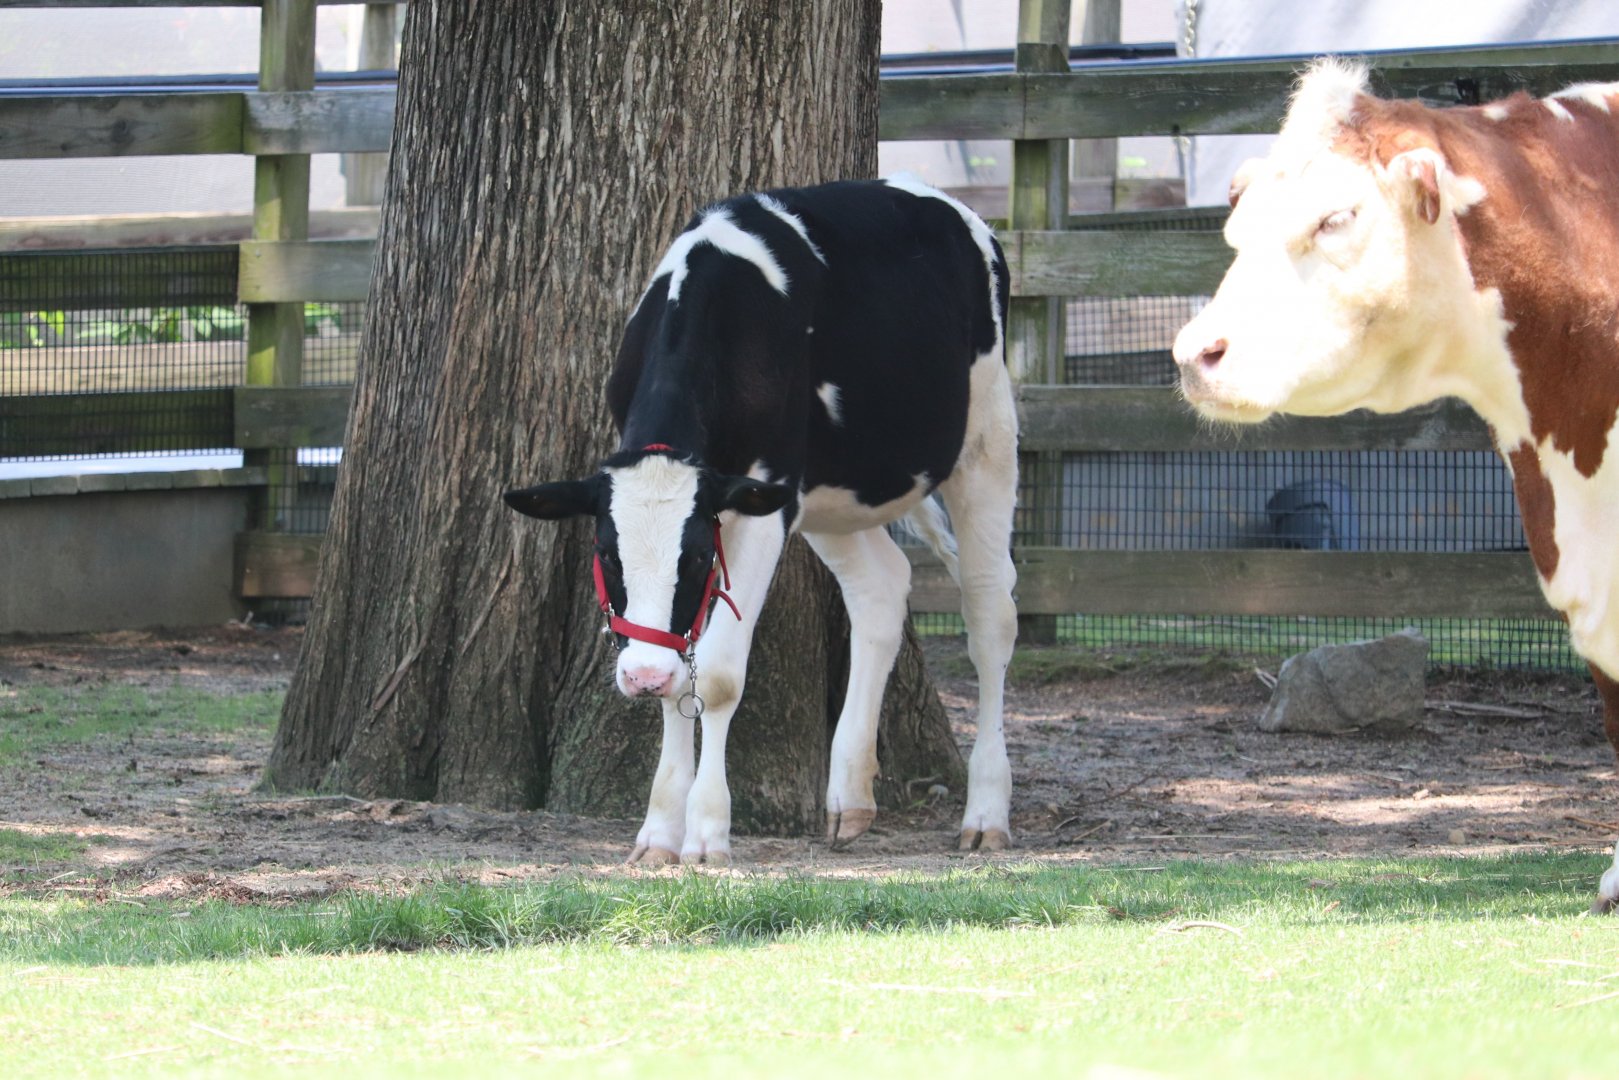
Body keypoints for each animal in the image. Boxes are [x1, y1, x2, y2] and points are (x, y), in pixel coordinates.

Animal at [505, 178, 1019, 866]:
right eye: (608, 553)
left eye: (696, 556)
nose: (640, 674)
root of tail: (939, 200)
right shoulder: (761, 501)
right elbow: (682, 675)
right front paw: (658, 832)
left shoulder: (761, 499)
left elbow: (718, 677)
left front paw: (707, 833)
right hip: (830, 490)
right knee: (882, 588)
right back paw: (850, 797)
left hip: (986, 433)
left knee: (990, 613)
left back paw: (986, 812)